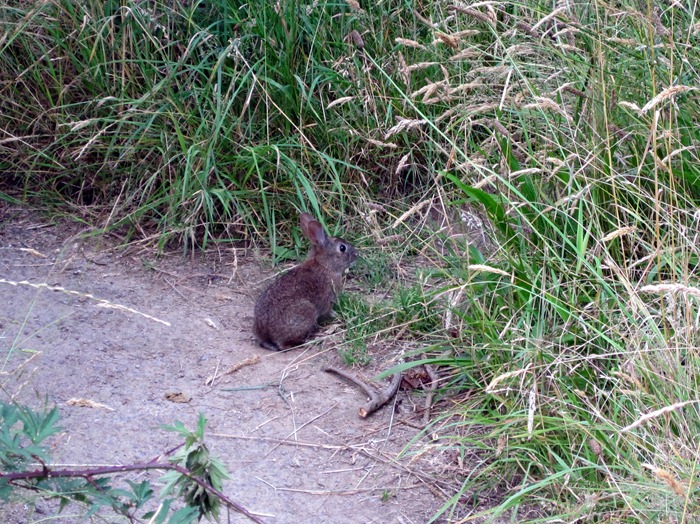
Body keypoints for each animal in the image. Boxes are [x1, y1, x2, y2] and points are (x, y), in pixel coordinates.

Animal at [253, 212, 357, 351]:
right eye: (342, 248)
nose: (356, 254)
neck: (324, 265)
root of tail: (265, 333)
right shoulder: (327, 299)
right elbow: (327, 311)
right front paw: (335, 314)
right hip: (307, 311)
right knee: (283, 345)